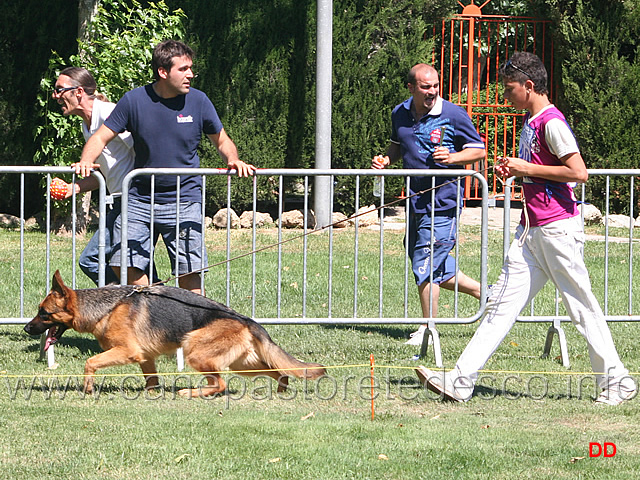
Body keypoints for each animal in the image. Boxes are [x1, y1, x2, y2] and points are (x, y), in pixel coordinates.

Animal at [24, 270, 324, 398]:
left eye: (44, 313)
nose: (26, 328)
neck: (104, 308)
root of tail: (247, 320)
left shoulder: (127, 352)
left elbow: (90, 362)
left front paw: (88, 387)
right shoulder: (145, 358)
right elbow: (151, 380)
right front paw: (151, 393)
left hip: (195, 351)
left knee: (220, 384)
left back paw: (191, 393)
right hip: (244, 364)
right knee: (279, 371)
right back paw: (282, 389)